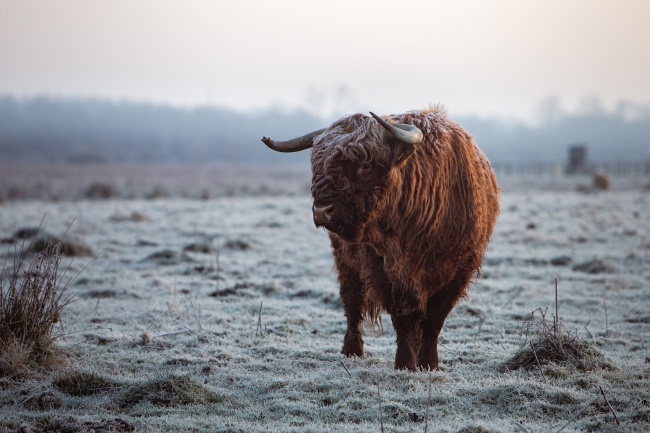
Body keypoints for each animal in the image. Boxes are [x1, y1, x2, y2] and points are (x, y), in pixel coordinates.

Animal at [260, 107, 498, 368]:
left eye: (365, 165)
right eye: (317, 163)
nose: (322, 210)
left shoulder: (459, 270)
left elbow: (435, 319)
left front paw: (429, 363)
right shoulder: (383, 269)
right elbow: (403, 316)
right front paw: (405, 363)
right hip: (346, 262)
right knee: (352, 302)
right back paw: (352, 350)